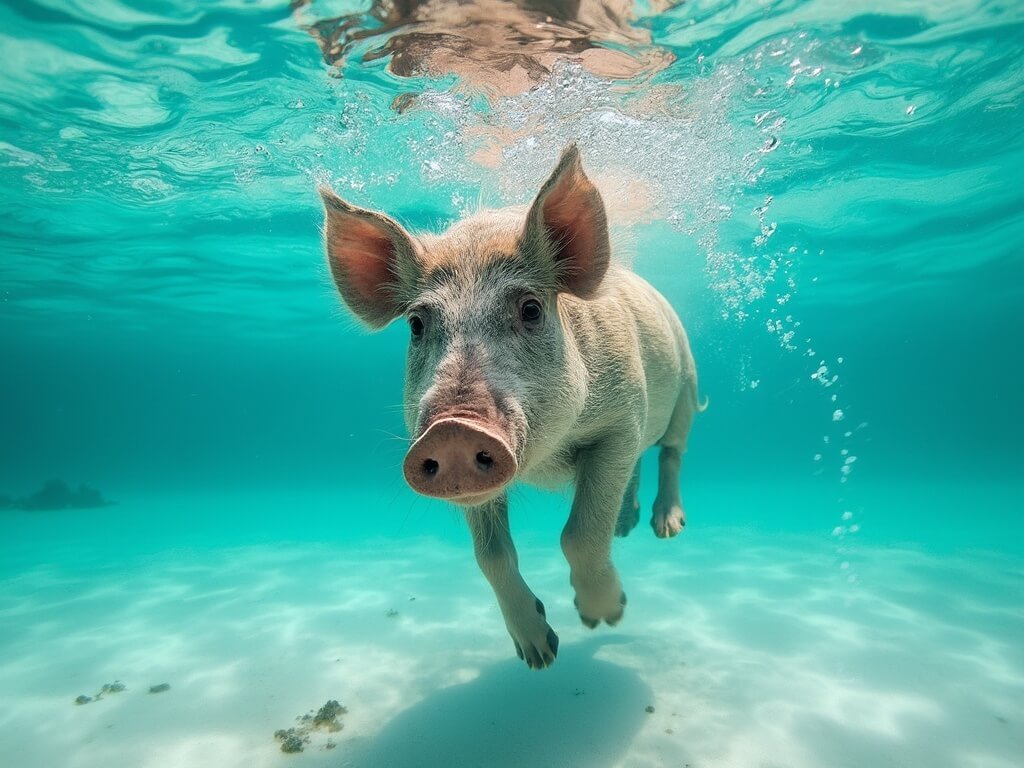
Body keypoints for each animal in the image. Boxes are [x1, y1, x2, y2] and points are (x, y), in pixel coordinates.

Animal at [319, 144, 702, 669]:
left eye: (531, 309)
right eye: (416, 324)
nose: (453, 429)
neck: (545, 463)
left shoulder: (621, 421)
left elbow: (580, 534)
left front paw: (603, 618)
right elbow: (492, 556)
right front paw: (540, 656)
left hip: (686, 385)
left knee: (671, 453)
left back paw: (666, 529)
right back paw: (626, 528)